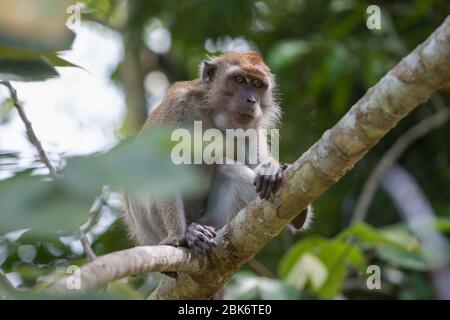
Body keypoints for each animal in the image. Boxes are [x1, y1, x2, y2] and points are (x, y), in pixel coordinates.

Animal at [123, 51, 312, 258]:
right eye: (240, 80)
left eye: (258, 85)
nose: (252, 100)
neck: (212, 115)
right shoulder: (175, 106)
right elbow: (159, 168)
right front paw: (180, 235)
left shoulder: (251, 126)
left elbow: (255, 162)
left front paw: (271, 170)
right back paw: (188, 232)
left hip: (215, 219)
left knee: (226, 168)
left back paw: (299, 216)